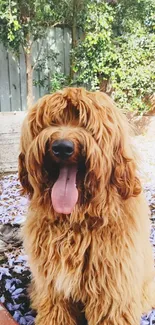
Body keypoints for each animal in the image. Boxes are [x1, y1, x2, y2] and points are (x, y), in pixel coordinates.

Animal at [18, 87, 154, 322]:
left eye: (86, 123)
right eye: (51, 121)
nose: (62, 147)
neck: (75, 221)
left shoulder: (112, 291)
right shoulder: (52, 288)